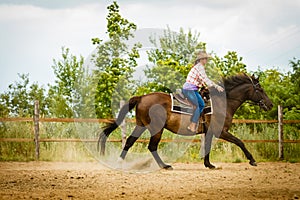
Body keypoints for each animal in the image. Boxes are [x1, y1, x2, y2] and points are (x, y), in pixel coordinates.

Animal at [97, 72, 274, 170]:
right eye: (260, 89)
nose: (271, 104)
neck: (222, 102)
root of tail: (141, 97)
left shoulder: (209, 132)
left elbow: (207, 147)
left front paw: (209, 165)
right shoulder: (221, 131)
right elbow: (240, 142)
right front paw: (252, 160)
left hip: (141, 126)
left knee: (130, 142)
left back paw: (119, 163)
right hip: (156, 129)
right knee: (151, 146)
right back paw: (165, 166)